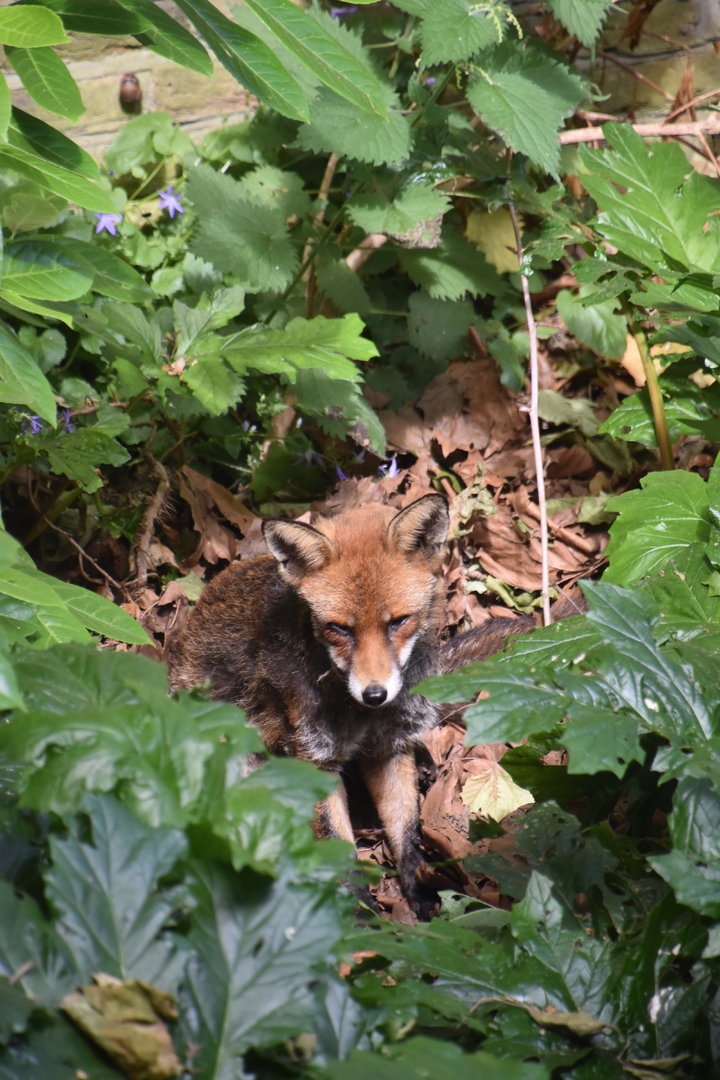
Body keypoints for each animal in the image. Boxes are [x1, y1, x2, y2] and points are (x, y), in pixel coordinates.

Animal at [166, 493, 530, 916]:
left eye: (398, 622)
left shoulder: (389, 749)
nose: (375, 694)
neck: (362, 718)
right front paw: (360, 916)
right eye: (339, 628)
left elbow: (406, 829)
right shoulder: (316, 759)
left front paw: (421, 889)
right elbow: (336, 844)